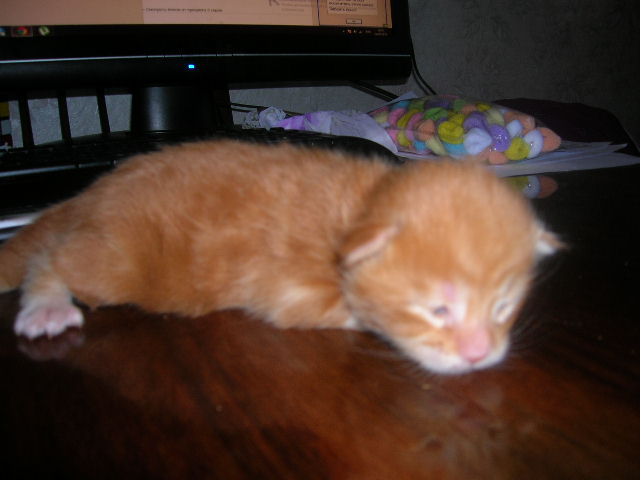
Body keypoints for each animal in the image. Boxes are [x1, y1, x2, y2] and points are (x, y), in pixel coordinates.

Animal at [0, 139, 560, 374]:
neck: (362, 206)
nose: (479, 354)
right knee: (50, 260)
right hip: (118, 260)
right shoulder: (288, 292)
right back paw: (46, 308)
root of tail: (92, 192)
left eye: (503, 308)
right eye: (438, 310)